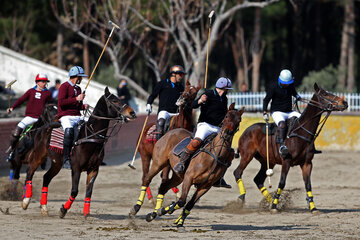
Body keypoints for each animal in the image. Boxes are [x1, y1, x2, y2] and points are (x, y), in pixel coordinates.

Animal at [20, 87, 136, 218]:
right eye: (115, 101)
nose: (132, 113)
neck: (91, 136)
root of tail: (44, 127)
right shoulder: (76, 168)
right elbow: (75, 191)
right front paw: (63, 210)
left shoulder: (94, 169)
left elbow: (89, 191)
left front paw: (86, 212)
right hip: (39, 155)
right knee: (30, 172)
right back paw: (25, 201)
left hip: (57, 163)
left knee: (46, 178)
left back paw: (44, 208)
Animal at [232, 83, 348, 213]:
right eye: (325, 94)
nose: (344, 102)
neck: (301, 132)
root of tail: (245, 131)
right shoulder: (286, 161)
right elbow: (282, 183)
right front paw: (274, 206)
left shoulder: (307, 163)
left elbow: (308, 184)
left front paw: (313, 207)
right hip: (247, 155)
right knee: (238, 172)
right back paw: (243, 198)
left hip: (267, 161)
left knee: (258, 179)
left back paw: (269, 201)